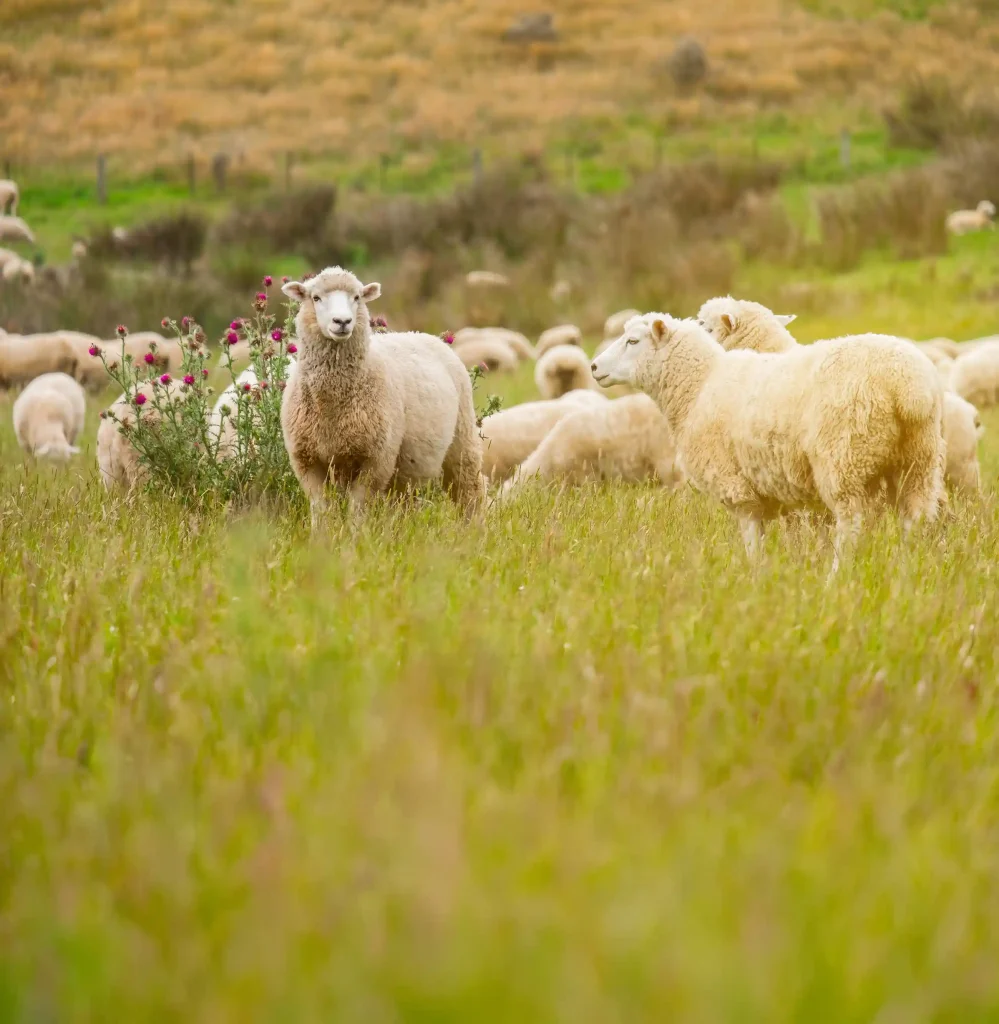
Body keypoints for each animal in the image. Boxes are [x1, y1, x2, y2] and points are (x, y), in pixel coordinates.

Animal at [281, 266, 484, 526]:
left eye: (357, 297)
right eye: (315, 298)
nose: (342, 322)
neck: (331, 407)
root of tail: (422, 334)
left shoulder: (376, 459)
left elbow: (357, 509)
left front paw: (355, 535)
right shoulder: (306, 460)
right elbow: (321, 510)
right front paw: (322, 536)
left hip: (462, 438)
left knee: (469, 488)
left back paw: (474, 527)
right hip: (407, 469)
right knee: (405, 502)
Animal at [592, 314, 945, 569]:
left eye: (632, 340)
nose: (594, 366)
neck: (699, 385)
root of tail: (908, 385)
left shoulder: (737, 486)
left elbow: (752, 541)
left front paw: (755, 579)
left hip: (844, 458)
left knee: (851, 525)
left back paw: (836, 578)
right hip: (919, 461)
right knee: (913, 521)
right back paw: (904, 573)